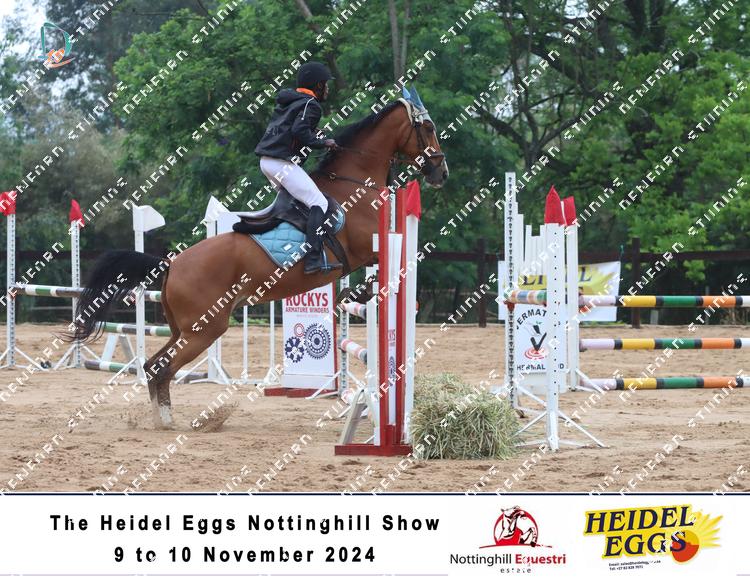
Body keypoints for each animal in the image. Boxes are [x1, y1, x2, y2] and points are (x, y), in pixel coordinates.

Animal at [69, 92, 448, 429]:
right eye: (428, 128)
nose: (440, 172)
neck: (354, 182)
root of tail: (172, 264)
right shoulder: (365, 248)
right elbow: (393, 264)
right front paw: (359, 294)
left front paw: (357, 294)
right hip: (204, 329)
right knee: (161, 367)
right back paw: (168, 423)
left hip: (183, 329)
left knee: (153, 365)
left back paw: (164, 419)